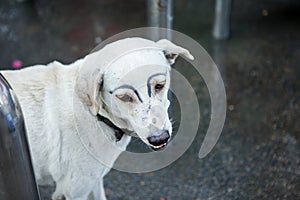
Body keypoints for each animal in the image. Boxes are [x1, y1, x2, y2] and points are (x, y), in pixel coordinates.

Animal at [1, 38, 193, 200]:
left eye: (159, 86)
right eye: (124, 97)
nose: (160, 138)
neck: (96, 116)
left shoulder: (93, 180)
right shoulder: (74, 191)